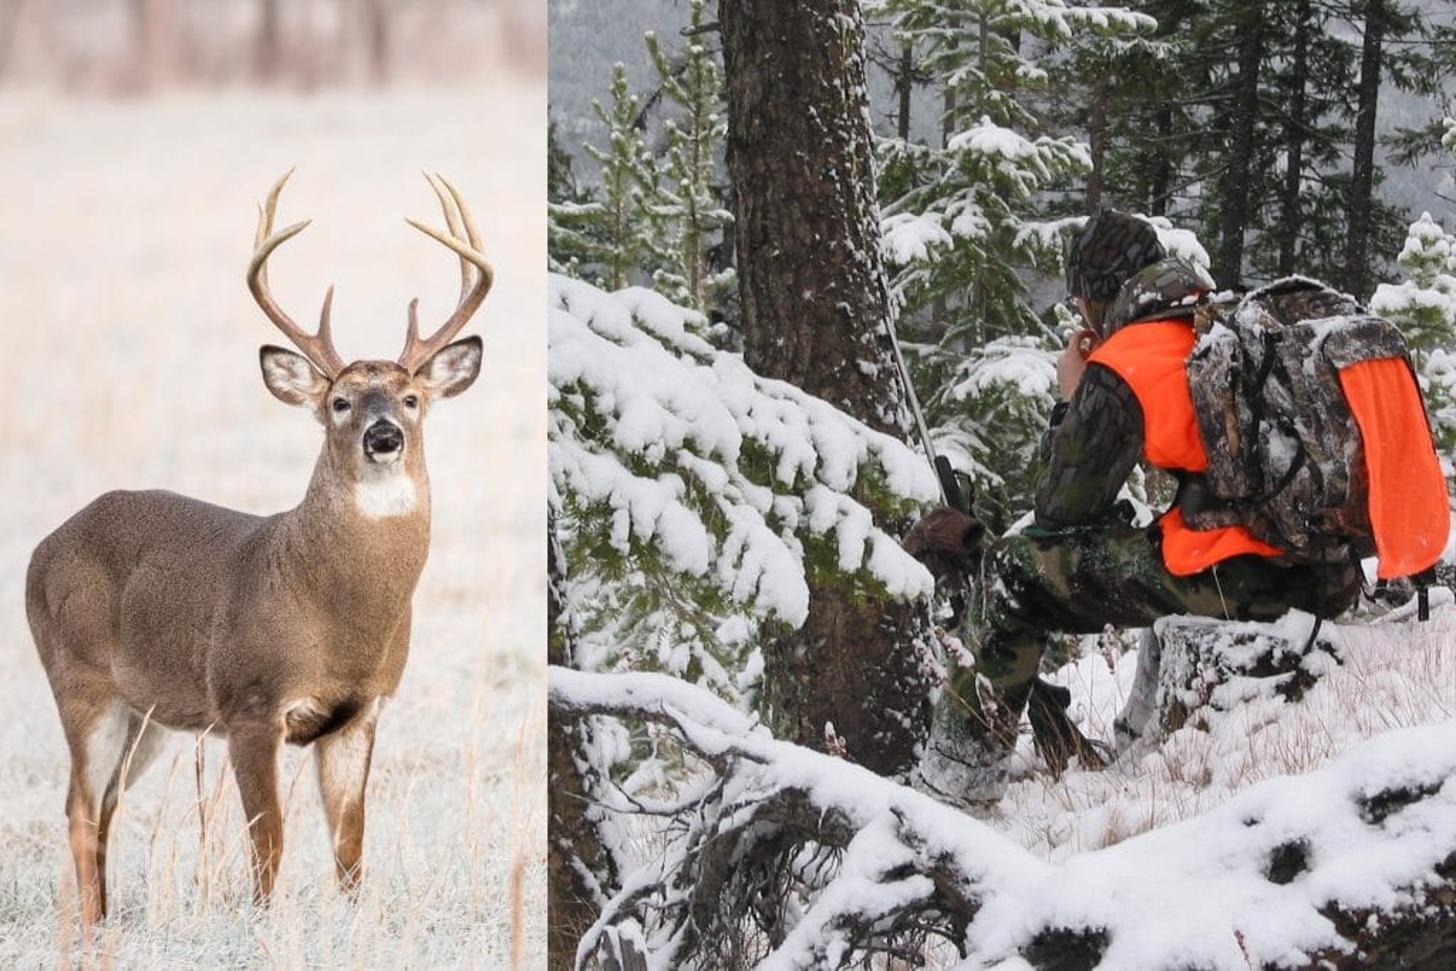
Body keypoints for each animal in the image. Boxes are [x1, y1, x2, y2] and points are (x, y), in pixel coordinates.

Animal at [25, 170, 491, 923]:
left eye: (412, 397)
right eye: (339, 402)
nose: (383, 435)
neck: (337, 616)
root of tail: (42, 548)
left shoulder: (362, 710)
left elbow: (351, 846)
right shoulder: (249, 700)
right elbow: (267, 839)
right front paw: (266, 927)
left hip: (147, 711)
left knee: (105, 805)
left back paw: (104, 918)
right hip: (79, 680)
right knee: (78, 805)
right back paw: (93, 926)